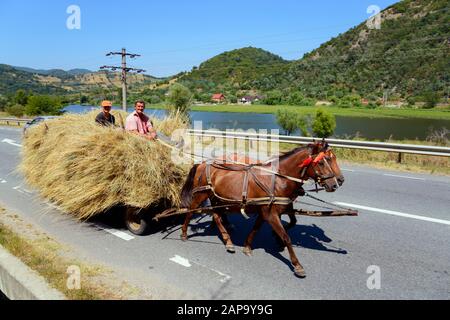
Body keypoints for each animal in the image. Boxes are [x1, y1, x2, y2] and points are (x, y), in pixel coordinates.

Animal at [181, 141, 342, 276]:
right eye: (321, 162)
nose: (335, 183)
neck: (278, 179)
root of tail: (202, 163)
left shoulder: (265, 211)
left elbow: (256, 228)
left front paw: (248, 246)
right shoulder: (271, 214)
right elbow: (286, 237)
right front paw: (297, 265)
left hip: (218, 199)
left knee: (216, 216)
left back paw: (228, 240)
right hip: (201, 195)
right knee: (191, 211)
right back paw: (184, 233)